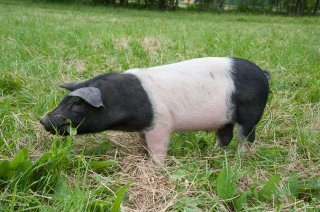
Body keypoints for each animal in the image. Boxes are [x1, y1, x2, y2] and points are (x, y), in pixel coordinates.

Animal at [40, 56, 270, 164]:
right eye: (64, 100)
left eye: (76, 104)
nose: (43, 120)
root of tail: (263, 73)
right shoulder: (144, 128)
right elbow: (143, 143)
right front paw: (143, 154)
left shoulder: (160, 125)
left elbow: (158, 149)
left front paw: (155, 165)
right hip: (224, 118)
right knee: (225, 136)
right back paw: (212, 153)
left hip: (250, 115)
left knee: (246, 138)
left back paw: (240, 159)